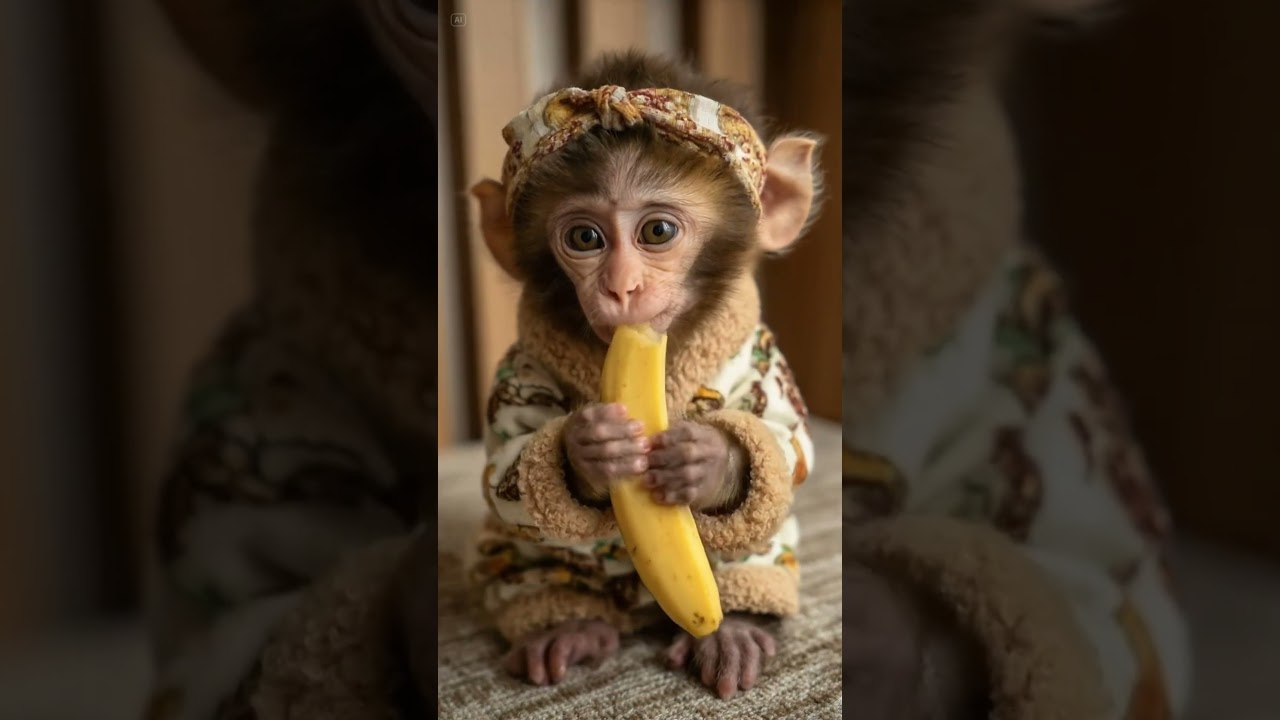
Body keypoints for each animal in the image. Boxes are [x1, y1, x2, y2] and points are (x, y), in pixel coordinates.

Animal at [460, 51, 826, 700]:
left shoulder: (756, 351)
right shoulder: (522, 364)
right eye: (585, 238)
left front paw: (709, 460)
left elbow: (787, 442)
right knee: (531, 555)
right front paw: (589, 451)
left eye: (657, 232)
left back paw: (734, 629)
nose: (621, 287)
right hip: (524, 559)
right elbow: (505, 463)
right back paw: (564, 626)